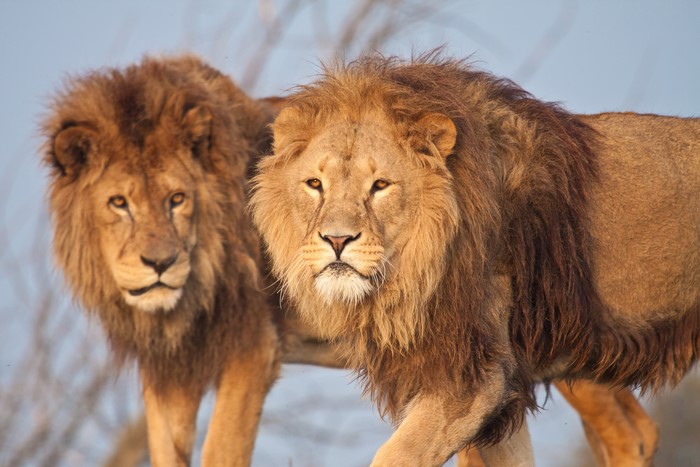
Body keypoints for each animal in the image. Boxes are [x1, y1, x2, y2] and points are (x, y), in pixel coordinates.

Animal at [42, 55, 282, 466]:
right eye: (119, 203)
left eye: (177, 199)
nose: (160, 264)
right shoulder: (170, 364)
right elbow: (165, 449)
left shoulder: (255, 346)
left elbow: (221, 450)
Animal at [250, 52, 699, 466]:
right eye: (314, 184)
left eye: (380, 186)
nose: (337, 239)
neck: (410, 277)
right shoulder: (496, 386)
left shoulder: (476, 378)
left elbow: (396, 455)